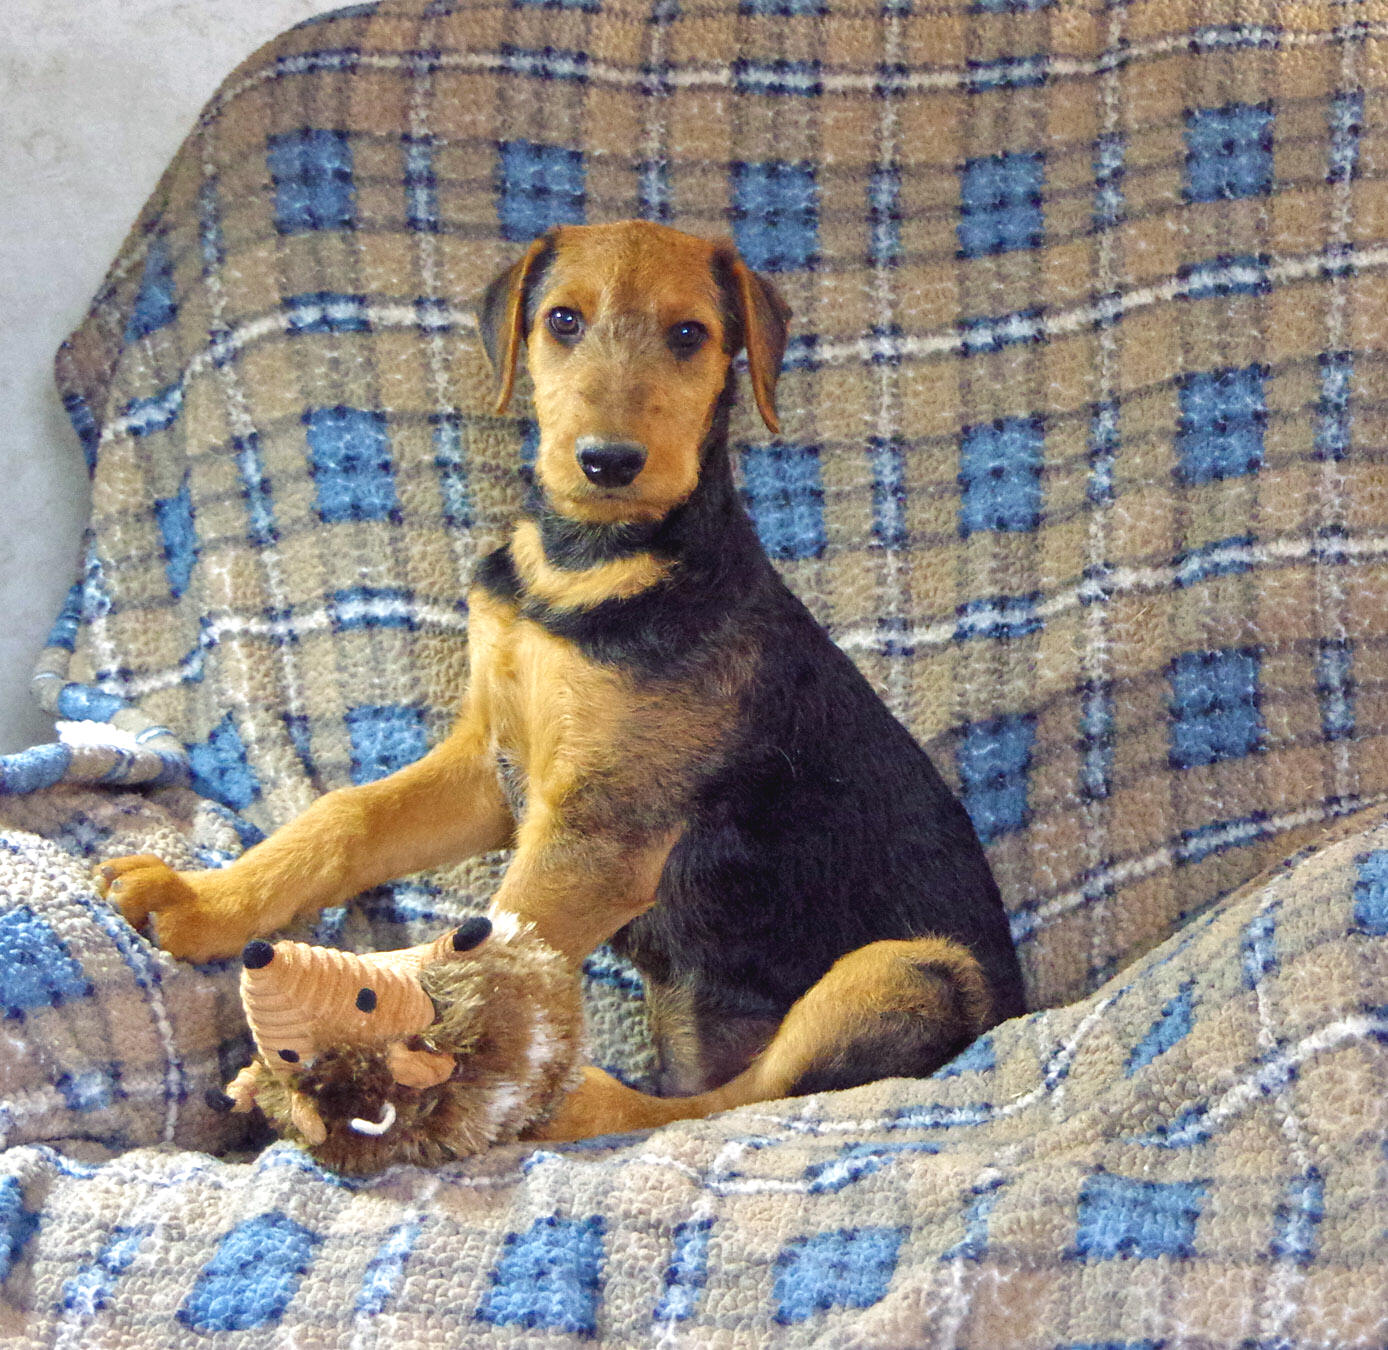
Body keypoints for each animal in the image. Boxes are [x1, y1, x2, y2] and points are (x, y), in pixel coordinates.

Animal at [97, 220, 1027, 1137]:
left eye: (690, 335)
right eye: (563, 321)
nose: (608, 462)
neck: (587, 562)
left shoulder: (599, 828)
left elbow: (490, 943)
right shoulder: (489, 764)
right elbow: (344, 819)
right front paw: (202, 904)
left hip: (910, 972)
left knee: (721, 1104)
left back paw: (567, 1102)